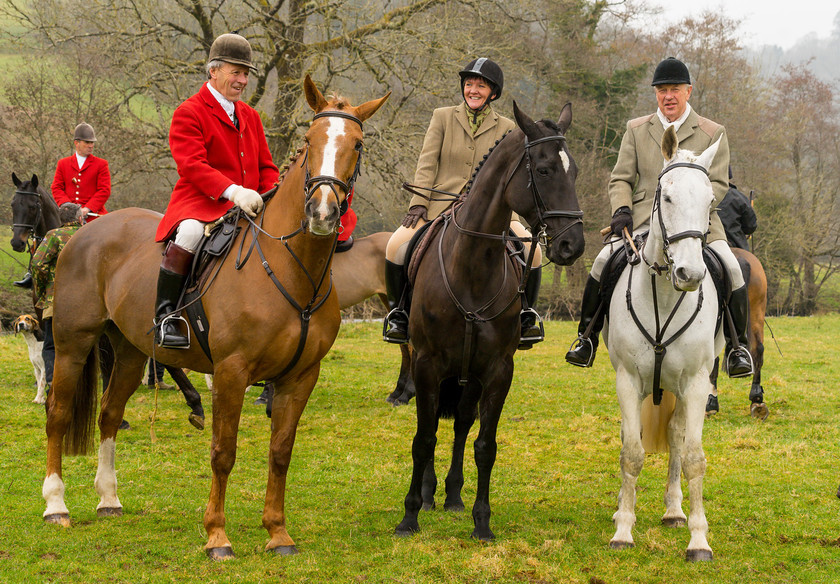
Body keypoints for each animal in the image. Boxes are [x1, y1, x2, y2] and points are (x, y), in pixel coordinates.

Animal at [42, 75, 390, 560]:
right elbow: (223, 452)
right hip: (73, 342)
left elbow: (281, 452)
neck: (290, 267)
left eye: (357, 144)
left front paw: (278, 533)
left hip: (130, 350)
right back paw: (56, 506)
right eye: (309, 140)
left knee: (109, 414)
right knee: (57, 414)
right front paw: (217, 537)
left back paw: (109, 499)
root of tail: (85, 231)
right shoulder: (231, 372)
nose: (322, 213)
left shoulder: (301, 376)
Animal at [394, 101, 584, 544]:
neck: (472, 266)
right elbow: (423, 438)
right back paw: (428, 495)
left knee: (463, 423)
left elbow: (485, 444)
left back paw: (451, 495)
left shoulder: (498, 369)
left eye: (575, 172)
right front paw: (409, 516)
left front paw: (482, 520)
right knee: (433, 425)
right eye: (544, 170)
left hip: (469, 374)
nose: (574, 244)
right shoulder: (426, 363)